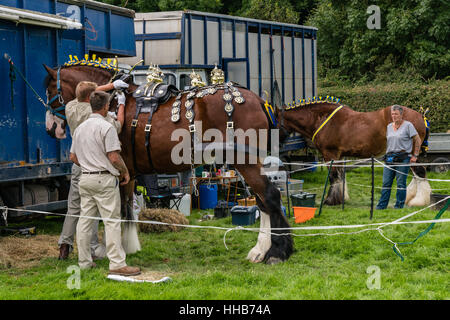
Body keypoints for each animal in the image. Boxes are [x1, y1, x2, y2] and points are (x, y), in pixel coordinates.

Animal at [44, 63, 294, 264]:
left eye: (50, 91)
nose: (51, 128)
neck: (112, 101)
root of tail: (259, 101)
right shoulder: (129, 172)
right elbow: (126, 207)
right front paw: (128, 245)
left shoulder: (119, 168)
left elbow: (117, 210)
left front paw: (117, 248)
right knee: (263, 201)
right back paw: (261, 250)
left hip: (246, 161)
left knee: (270, 196)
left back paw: (277, 252)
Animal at [276, 99, 428, 205]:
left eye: (273, 121)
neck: (323, 119)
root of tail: (421, 116)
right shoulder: (339, 156)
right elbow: (340, 176)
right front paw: (341, 198)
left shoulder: (330, 154)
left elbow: (333, 177)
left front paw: (330, 200)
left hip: (410, 154)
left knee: (420, 172)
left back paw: (418, 201)